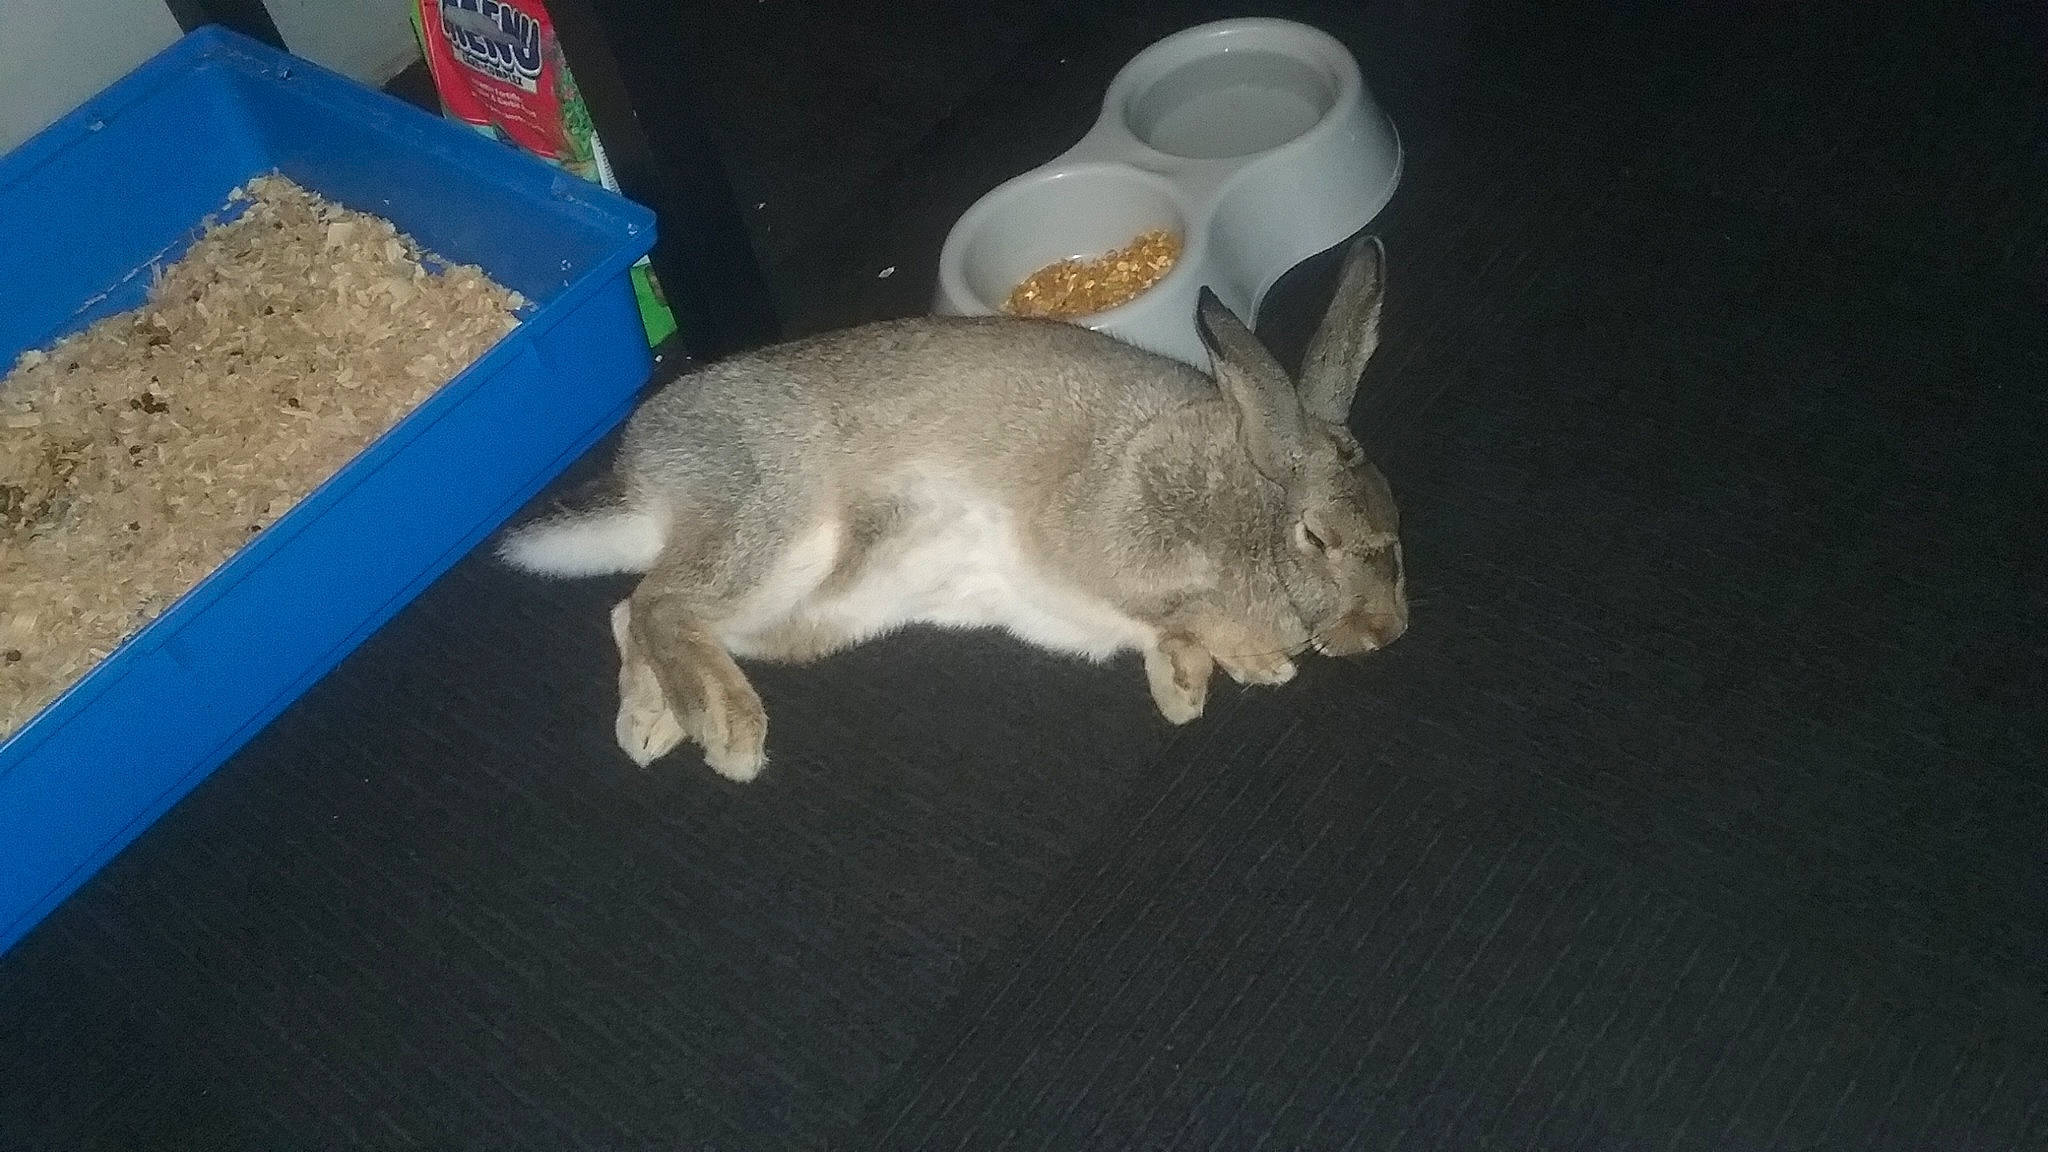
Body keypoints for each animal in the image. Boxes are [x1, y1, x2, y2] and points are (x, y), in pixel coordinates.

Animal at [496, 231, 1406, 781]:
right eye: (1319, 536)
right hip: (774, 530)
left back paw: (649, 729)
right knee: (659, 605)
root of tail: (645, 480)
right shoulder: (1109, 545)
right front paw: (1240, 672)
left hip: (796, 612)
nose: (1388, 633)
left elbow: (1173, 636)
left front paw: (1189, 689)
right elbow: (1187, 612)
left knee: (630, 608)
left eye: (1396, 529)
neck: (1246, 496)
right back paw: (729, 734)